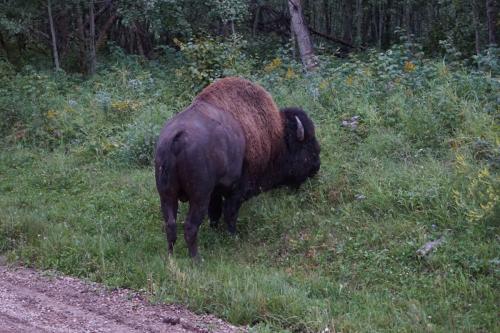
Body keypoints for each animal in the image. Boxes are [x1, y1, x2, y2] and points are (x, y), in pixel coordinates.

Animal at [155, 76, 320, 258]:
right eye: (307, 146)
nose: (316, 167)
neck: (275, 139)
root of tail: (175, 139)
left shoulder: (216, 192)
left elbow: (216, 212)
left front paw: (216, 231)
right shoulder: (237, 191)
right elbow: (230, 213)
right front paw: (233, 236)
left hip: (166, 195)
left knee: (170, 225)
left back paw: (171, 256)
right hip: (199, 198)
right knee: (190, 226)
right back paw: (196, 259)